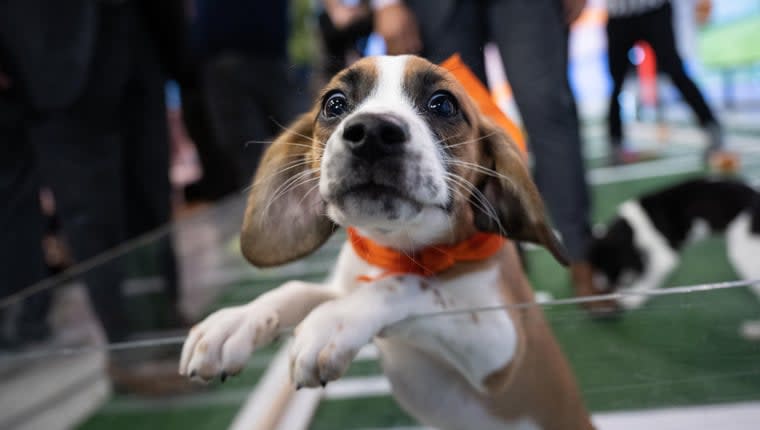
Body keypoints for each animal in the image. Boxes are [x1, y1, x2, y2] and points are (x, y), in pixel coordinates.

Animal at [180, 57, 592, 430]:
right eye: (334, 103)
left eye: (443, 103)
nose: (371, 132)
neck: (396, 249)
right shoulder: (344, 284)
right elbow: (298, 289)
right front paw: (235, 322)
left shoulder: (501, 346)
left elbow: (411, 285)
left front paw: (334, 321)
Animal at [588, 178, 760, 336]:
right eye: (602, 286)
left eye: (623, 281)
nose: (612, 310)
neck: (632, 228)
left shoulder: (665, 258)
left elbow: (647, 280)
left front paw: (631, 300)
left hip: (743, 255)